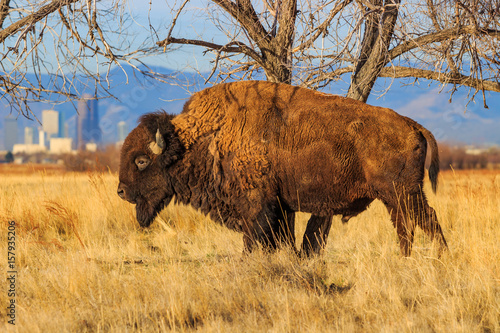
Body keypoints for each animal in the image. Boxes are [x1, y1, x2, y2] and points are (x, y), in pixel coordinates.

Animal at [118, 80, 450, 256]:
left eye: (141, 160)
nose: (121, 191)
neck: (206, 136)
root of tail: (413, 125)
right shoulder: (279, 207)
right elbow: (278, 239)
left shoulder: (256, 207)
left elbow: (254, 240)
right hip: (394, 197)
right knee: (406, 226)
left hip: (403, 192)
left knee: (427, 220)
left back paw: (440, 259)